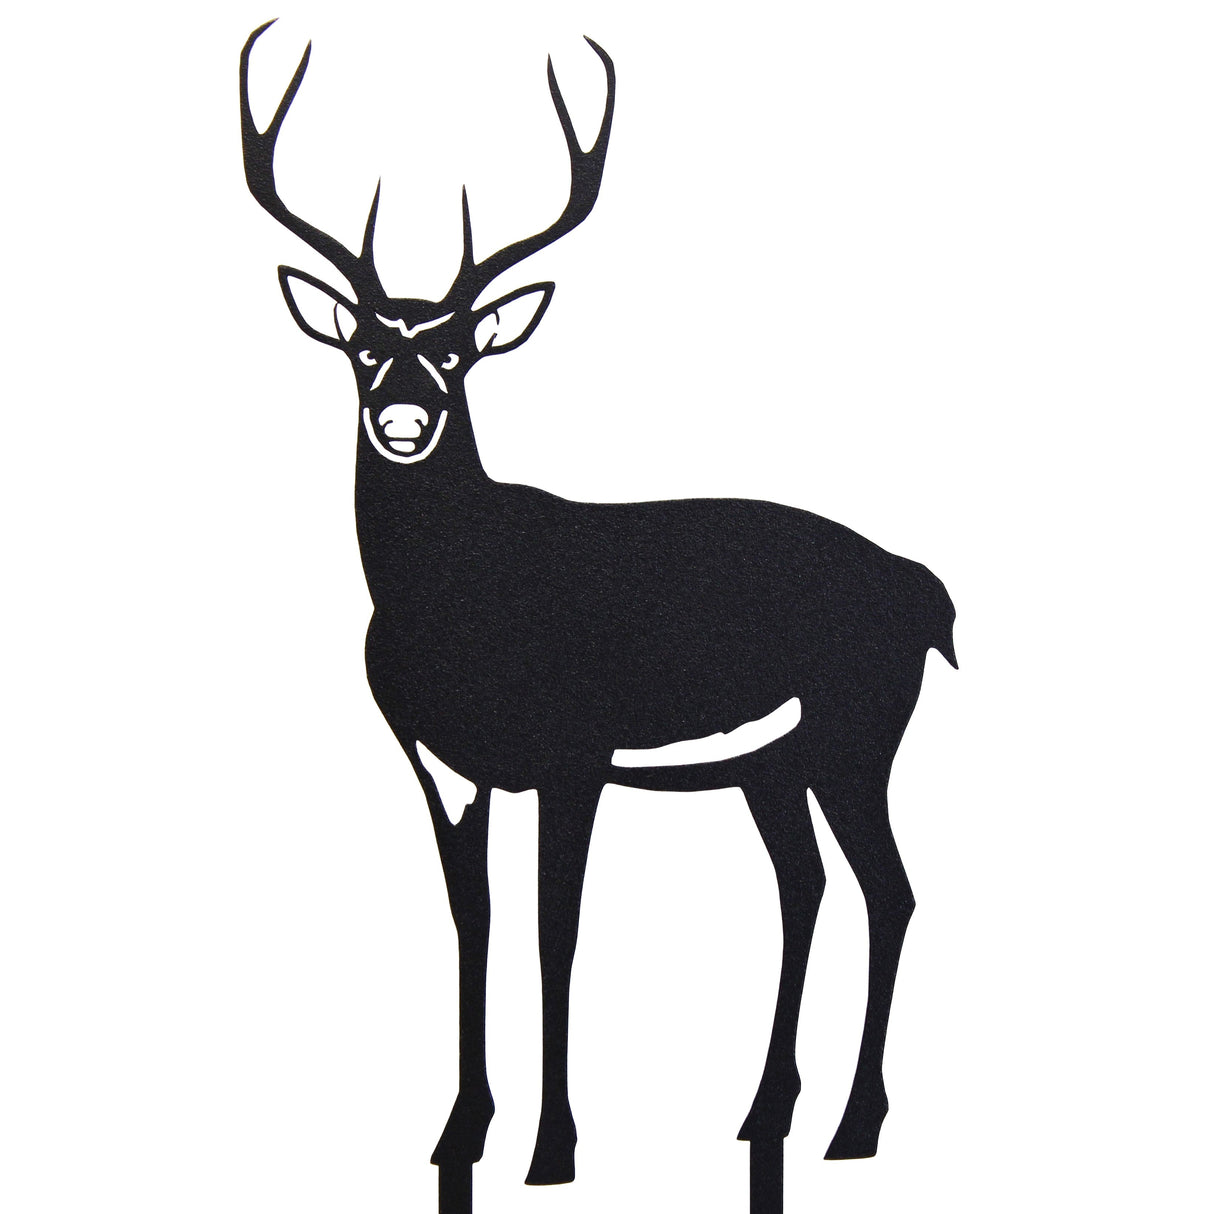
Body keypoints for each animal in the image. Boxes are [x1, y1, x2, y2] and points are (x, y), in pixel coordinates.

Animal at [240, 21, 956, 1214]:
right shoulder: (443, 768)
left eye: (456, 349)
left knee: (890, 892)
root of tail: (921, 588)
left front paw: (553, 1150)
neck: (458, 607)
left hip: (858, 739)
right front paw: (455, 1134)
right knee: (805, 886)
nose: (402, 417)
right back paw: (763, 1111)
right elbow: (473, 923)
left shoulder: (571, 754)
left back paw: (853, 1127)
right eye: (363, 347)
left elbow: (554, 930)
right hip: (773, 764)